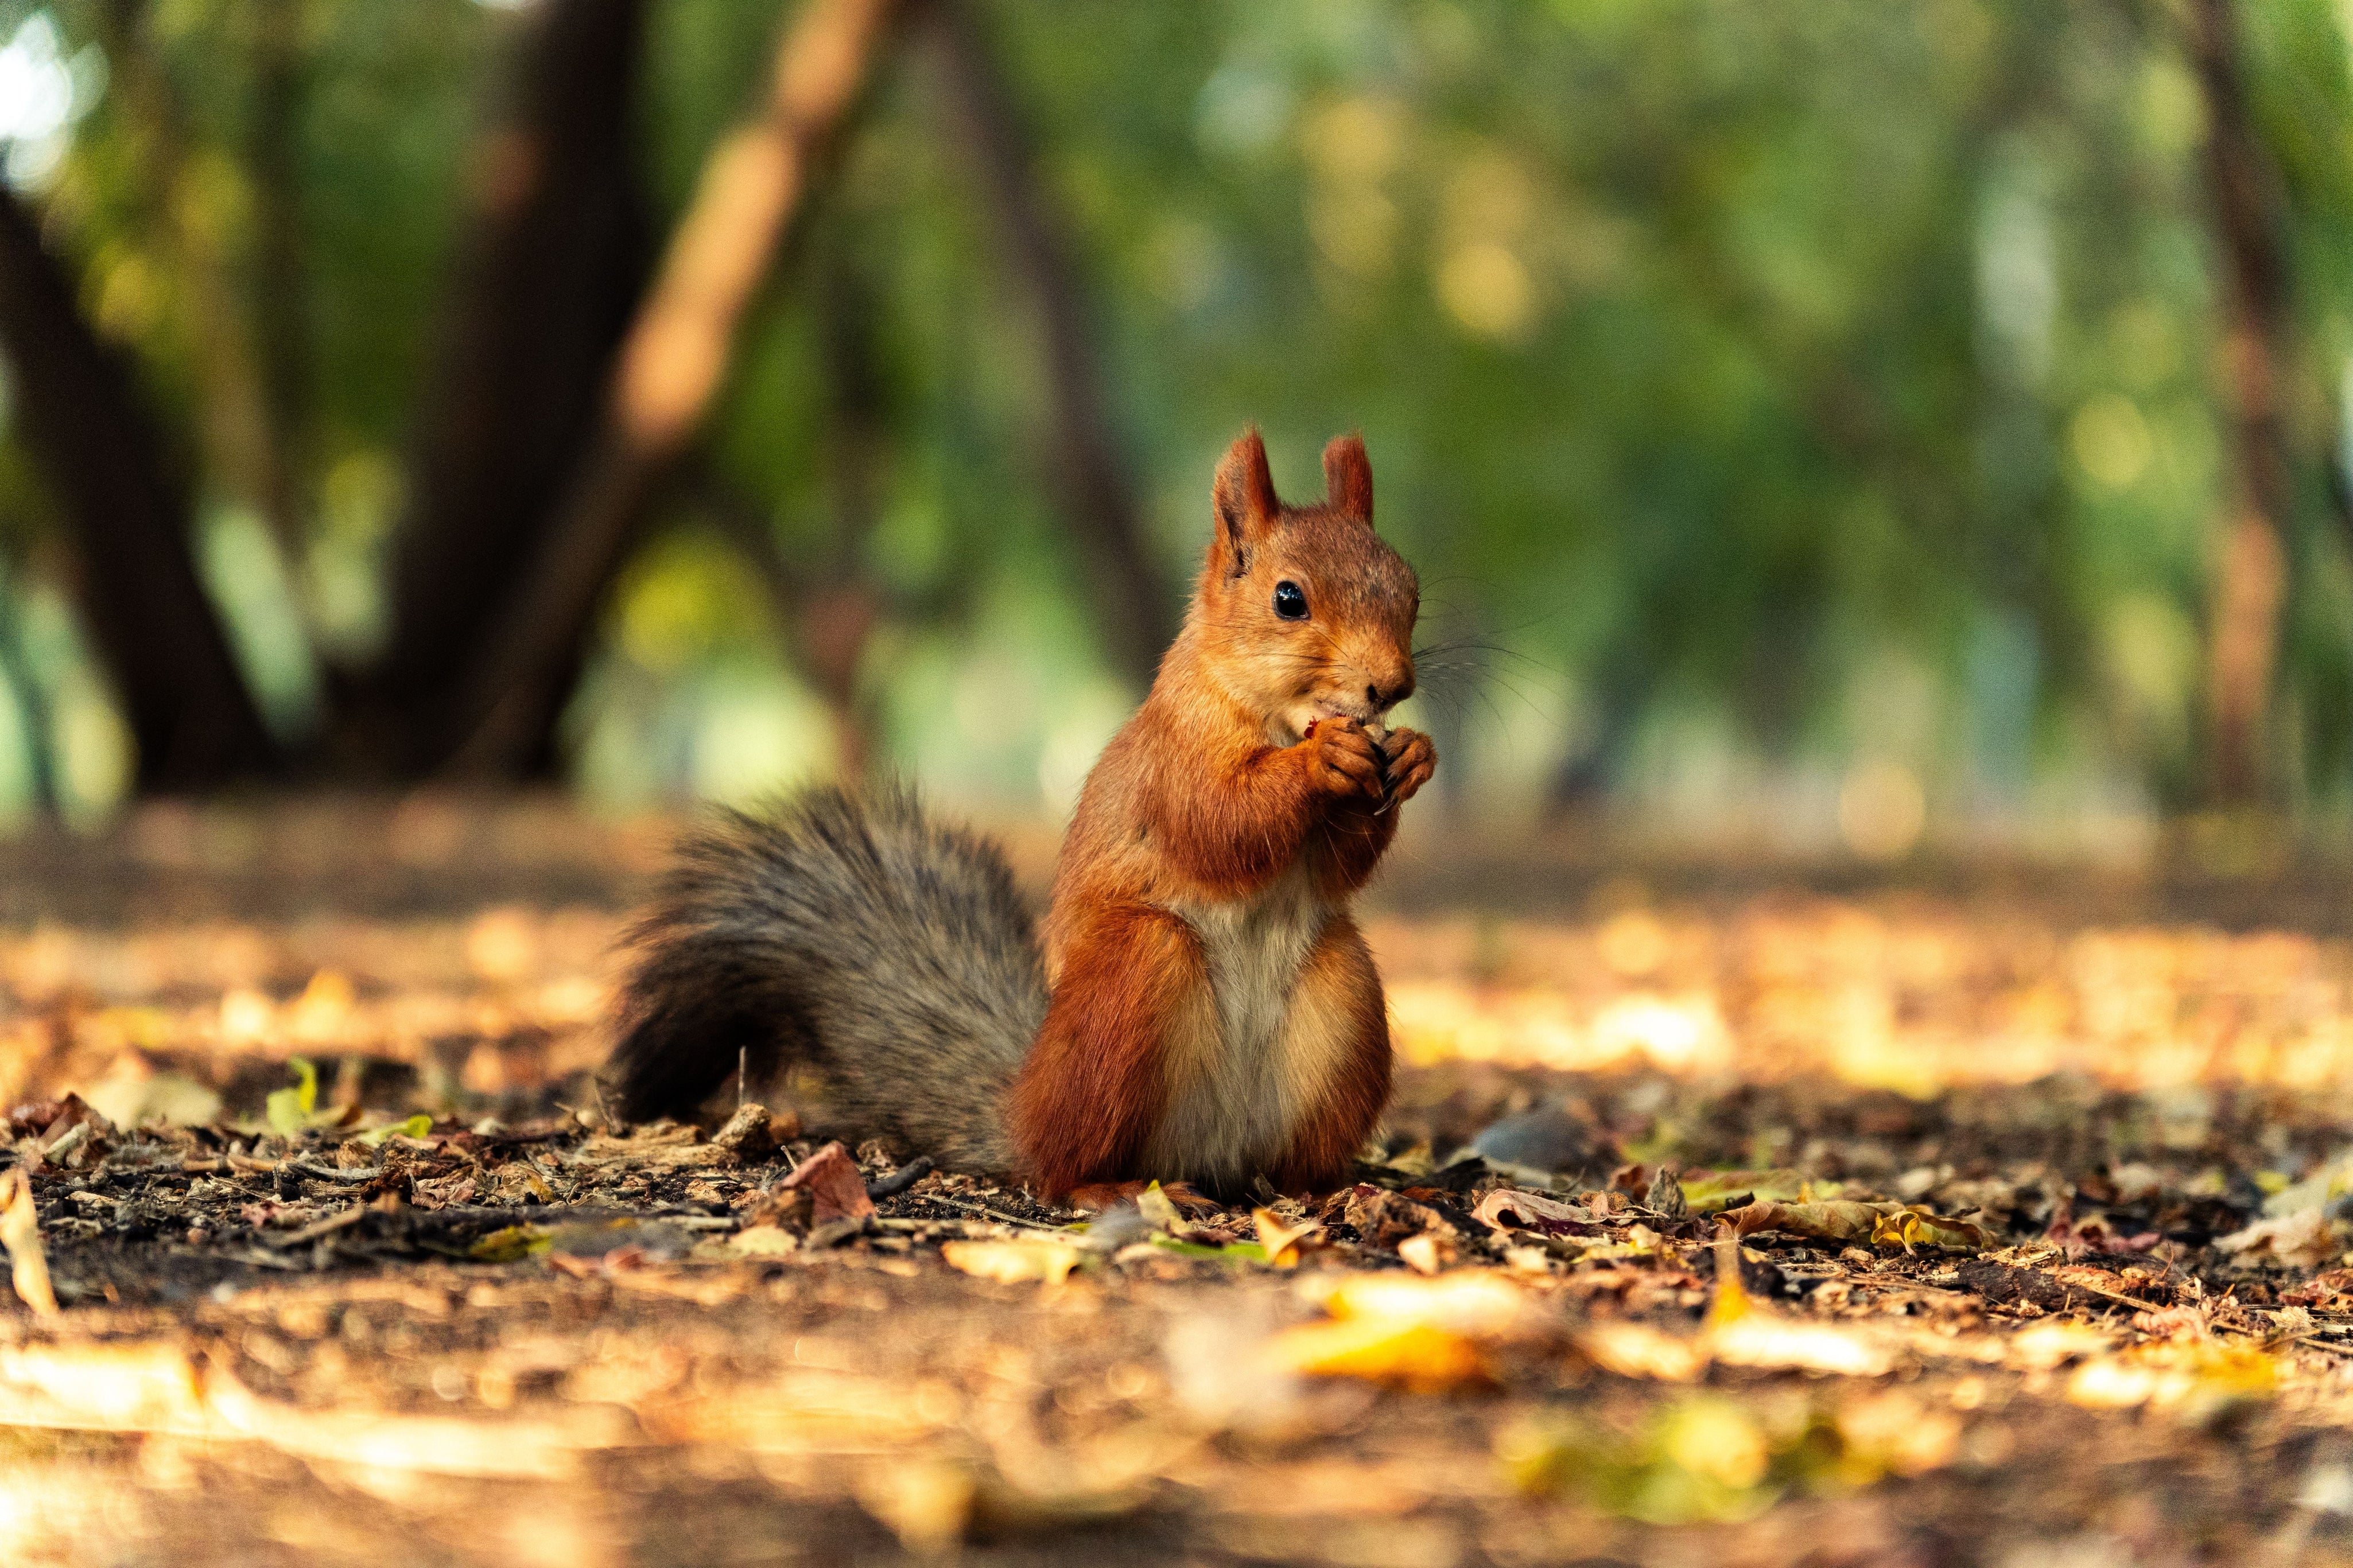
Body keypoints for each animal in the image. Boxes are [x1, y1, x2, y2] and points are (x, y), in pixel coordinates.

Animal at [605, 428, 1436, 1203]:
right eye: (1288, 599)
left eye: (1411, 586)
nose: (1392, 687)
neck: (1273, 717)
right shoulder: (1172, 763)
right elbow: (1218, 822)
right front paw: (1321, 763)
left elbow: (1339, 863)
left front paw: (1414, 755)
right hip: (1134, 977)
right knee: (1063, 1165)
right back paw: (1106, 1187)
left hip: (1343, 994)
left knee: (1289, 1149)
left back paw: (1329, 1185)